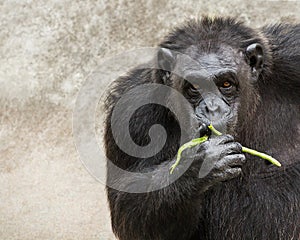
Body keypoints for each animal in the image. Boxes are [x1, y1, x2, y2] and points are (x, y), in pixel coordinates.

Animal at [103, 17, 300, 240]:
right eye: (194, 87)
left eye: (226, 84)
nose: (211, 108)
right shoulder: (132, 111)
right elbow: (129, 204)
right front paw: (201, 163)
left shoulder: (293, 54)